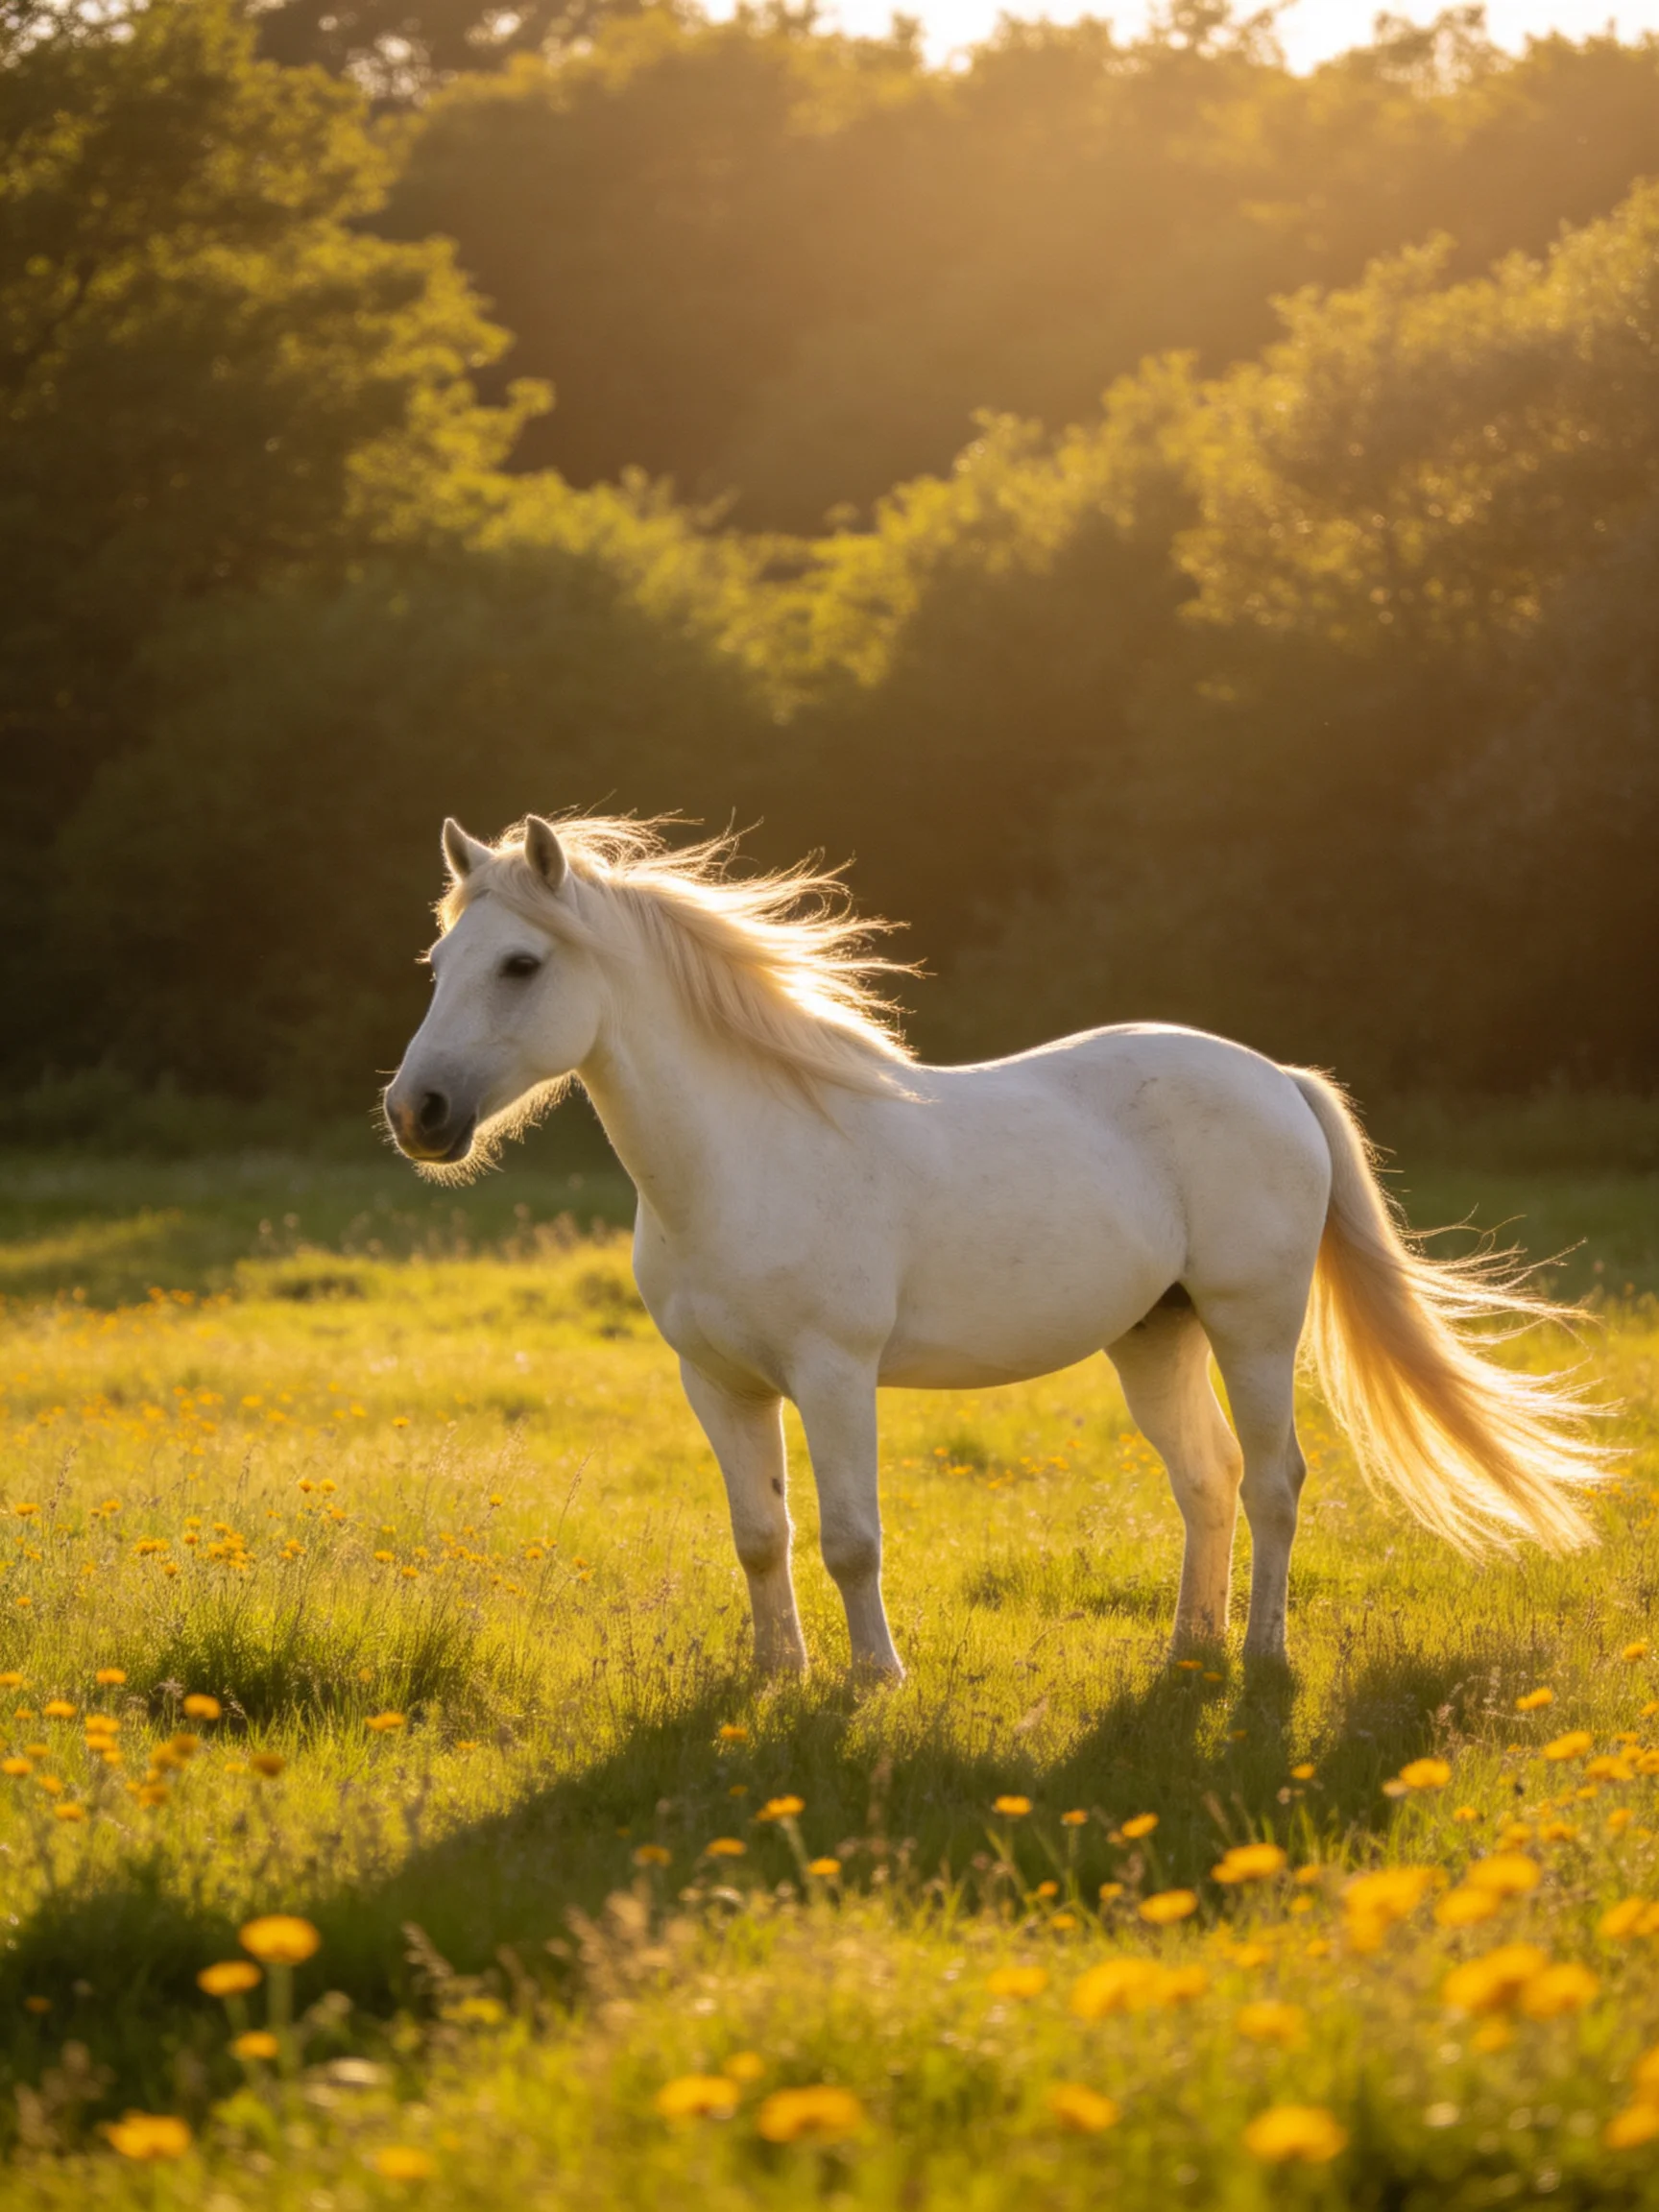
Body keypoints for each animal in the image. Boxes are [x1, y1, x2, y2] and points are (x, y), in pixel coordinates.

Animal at [384, 812, 1604, 1679]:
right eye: (438, 962)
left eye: (522, 965)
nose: (417, 1113)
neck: (748, 1155)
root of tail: (1277, 1078)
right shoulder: (719, 1384)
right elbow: (759, 1535)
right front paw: (775, 1676)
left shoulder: (834, 1376)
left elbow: (850, 1537)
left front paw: (875, 1680)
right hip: (1154, 1337)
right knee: (1206, 1480)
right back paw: (1189, 1649)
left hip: (1253, 1327)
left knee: (1272, 1481)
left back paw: (1262, 1656)